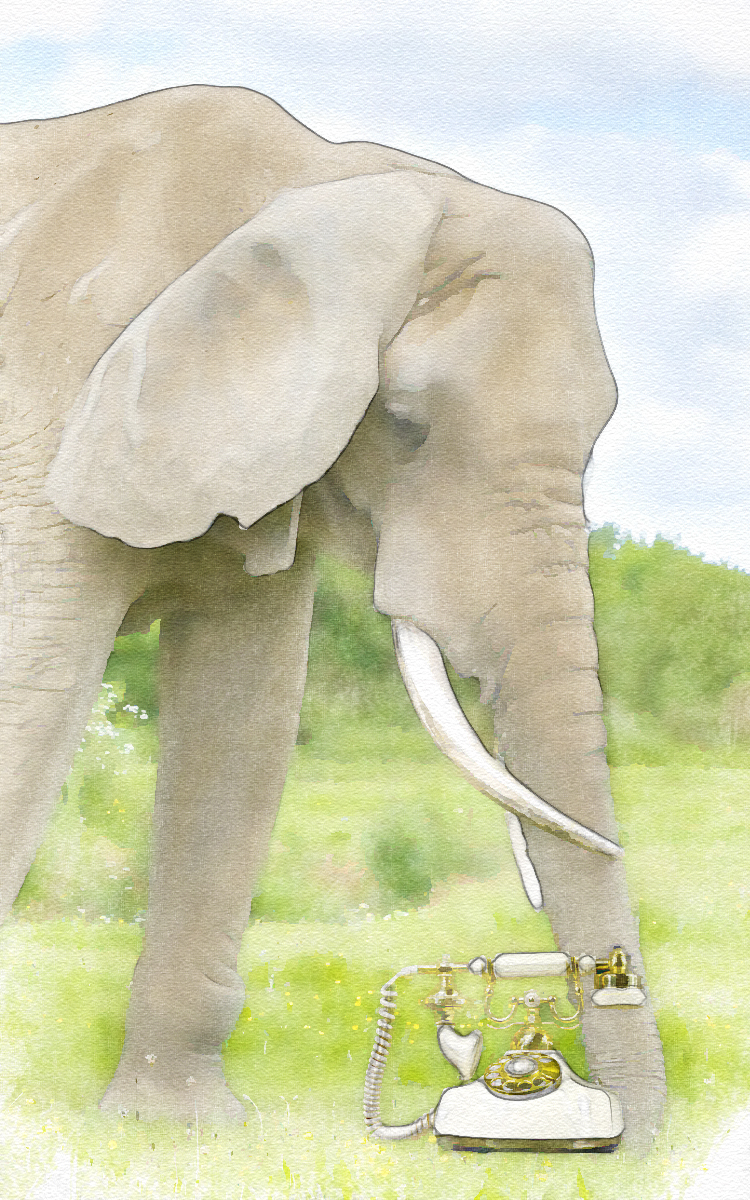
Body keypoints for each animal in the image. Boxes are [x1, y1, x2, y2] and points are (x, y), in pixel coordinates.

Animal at [0, 84, 666, 1147]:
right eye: (402, 422)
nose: (619, 1142)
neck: (319, 174)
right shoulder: (49, 406)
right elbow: (34, 696)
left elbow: (244, 723)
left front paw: (178, 1127)